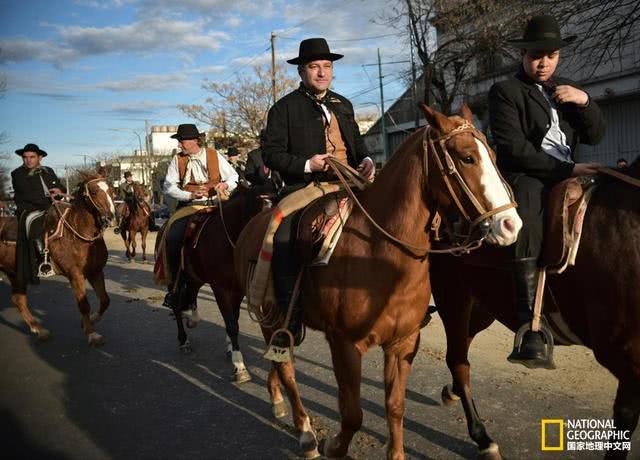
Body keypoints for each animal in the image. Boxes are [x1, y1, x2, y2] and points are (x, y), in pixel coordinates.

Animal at [0, 172, 116, 344]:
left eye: (112, 190)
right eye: (94, 192)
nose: (110, 218)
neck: (76, 232)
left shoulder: (95, 272)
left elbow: (105, 300)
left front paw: (91, 320)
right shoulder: (75, 274)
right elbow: (84, 304)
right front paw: (91, 333)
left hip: (16, 274)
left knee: (18, 300)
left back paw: (39, 330)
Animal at [235, 105, 524, 460]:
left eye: (493, 155)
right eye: (467, 157)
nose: (510, 225)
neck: (376, 254)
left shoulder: (403, 342)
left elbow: (395, 406)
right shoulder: (344, 344)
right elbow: (352, 414)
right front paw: (334, 446)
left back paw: (276, 399)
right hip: (272, 318)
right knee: (287, 371)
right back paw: (305, 433)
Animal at [428, 160, 640, 458]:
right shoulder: (625, 353)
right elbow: (625, 419)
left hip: (482, 306)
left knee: (459, 352)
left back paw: (453, 392)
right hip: (453, 295)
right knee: (458, 361)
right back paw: (484, 439)